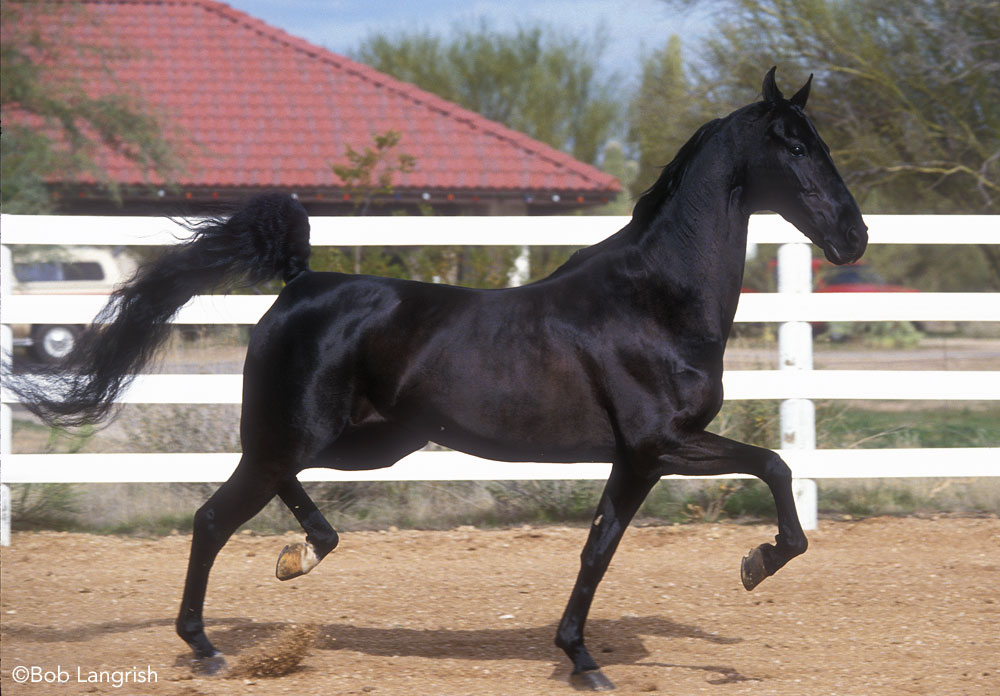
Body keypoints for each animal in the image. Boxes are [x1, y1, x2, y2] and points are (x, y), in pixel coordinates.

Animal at [7, 68, 864, 688]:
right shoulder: (667, 443)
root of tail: (299, 281)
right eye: (792, 145)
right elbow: (774, 466)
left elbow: (598, 550)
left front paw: (581, 659)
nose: (853, 236)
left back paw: (301, 555)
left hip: (367, 441)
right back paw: (209, 645)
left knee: (271, 493)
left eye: (820, 141)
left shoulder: (636, 459)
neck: (654, 300)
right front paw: (757, 563)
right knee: (215, 517)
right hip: (303, 435)